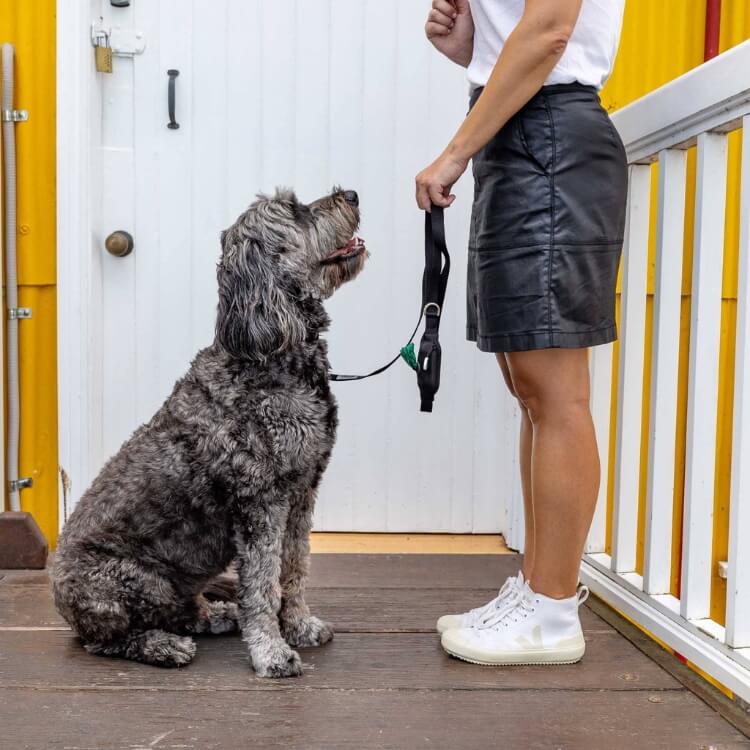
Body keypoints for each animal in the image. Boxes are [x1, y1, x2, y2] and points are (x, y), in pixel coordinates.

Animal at [51, 188, 368, 680]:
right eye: (295, 210)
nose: (351, 194)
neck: (267, 356)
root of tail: (60, 597)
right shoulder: (261, 502)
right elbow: (263, 585)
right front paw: (271, 652)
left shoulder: (301, 493)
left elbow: (295, 568)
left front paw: (298, 626)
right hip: (129, 582)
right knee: (105, 640)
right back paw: (163, 646)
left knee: (183, 611)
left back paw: (216, 614)